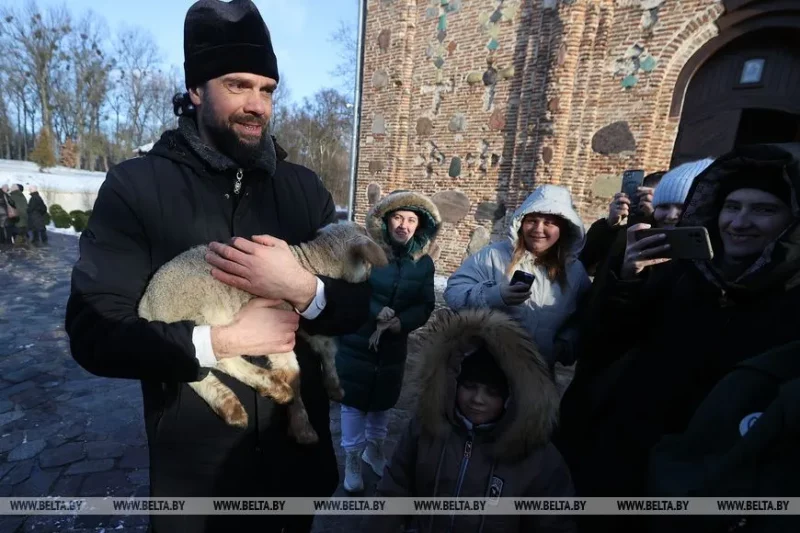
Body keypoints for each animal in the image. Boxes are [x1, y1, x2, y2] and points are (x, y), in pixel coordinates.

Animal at [139, 222, 390, 442]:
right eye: (367, 263)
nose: (369, 278)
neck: (308, 263)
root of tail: (146, 304)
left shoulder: (300, 318)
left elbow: (326, 347)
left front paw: (334, 387)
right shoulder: (278, 322)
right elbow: (292, 372)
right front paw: (302, 426)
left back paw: (231, 406)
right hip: (203, 312)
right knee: (218, 358)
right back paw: (273, 388)